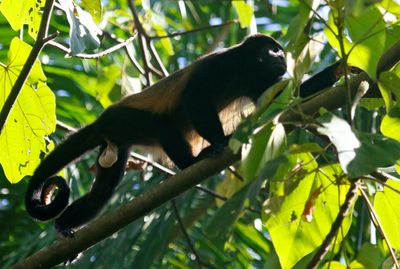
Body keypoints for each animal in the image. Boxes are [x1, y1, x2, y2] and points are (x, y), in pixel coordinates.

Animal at [25, 34, 340, 233]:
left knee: (101, 193)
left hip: (116, 144)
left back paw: (64, 225)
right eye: (272, 49)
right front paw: (221, 141)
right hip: (126, 119)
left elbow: (288, 100)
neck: (242, 68)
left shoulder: (258, 81)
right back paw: (192, 163)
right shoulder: (217, 65)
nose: (282, 56)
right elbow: (194, 100)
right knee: (164, 126)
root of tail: (103, 121)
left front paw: (341, 71)